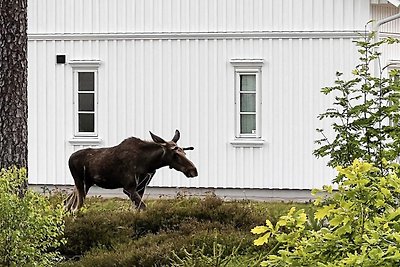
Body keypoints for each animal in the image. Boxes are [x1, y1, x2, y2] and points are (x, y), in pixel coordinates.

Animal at [63, 131, 198, 213]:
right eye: (175, 154)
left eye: (184, 152)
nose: (193, 170)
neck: (149, 164)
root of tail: (69, 158)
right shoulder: (128, 187)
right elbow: (144, 208)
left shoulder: (141, 187)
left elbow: (138, 209)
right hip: (80, 183)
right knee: (75, 208)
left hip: (84, 185)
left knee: (67, 203)